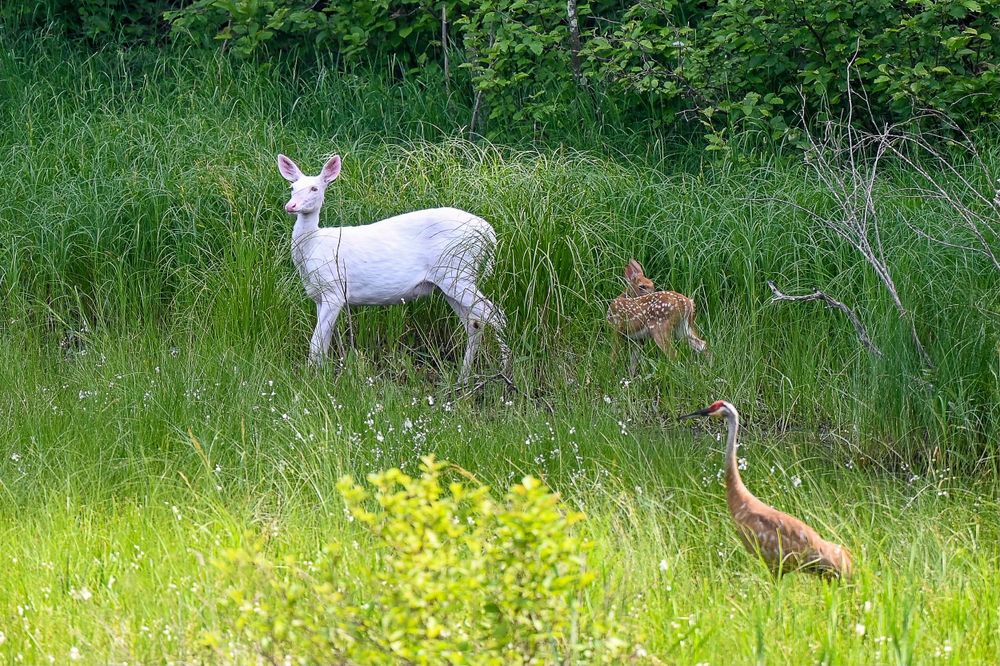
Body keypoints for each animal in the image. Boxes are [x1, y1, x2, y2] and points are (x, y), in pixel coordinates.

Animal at [277, 153, 511, 385]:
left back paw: (507, 374)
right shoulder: (319, 296)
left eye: (315, 188)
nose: (291, 206)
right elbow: (323, 343)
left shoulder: (335, 291)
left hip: (458, 270)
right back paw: (463, 379)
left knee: (495, 315)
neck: (313, 246)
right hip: (452, 280)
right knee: (475, 322)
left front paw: (310, 381)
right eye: (292, 187)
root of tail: (488, 232)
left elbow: (316, 343)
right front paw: (319, 376)